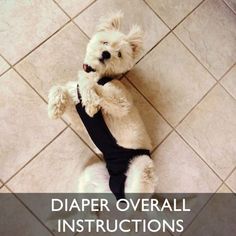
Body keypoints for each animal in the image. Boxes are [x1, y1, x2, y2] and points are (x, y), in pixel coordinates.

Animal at [47, 12, 157, 198]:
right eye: (105, 42)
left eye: (119, 54)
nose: (106, 54)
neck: (99, 74)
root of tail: (117, 190)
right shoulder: (77, 117)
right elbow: (60, 88)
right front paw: (55, 106)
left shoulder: (120, 101)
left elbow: (91, 86)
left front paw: (90, 101)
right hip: (91, 176)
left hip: (142, 165)